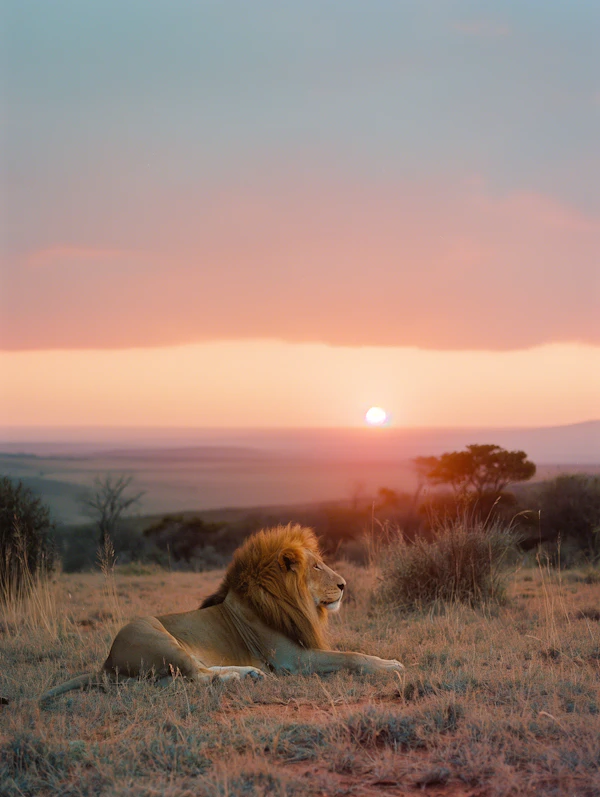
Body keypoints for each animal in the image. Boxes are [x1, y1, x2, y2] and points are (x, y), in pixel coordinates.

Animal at [40, 525, 403, 702]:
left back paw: (249, 673)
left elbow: (352, 652)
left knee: (196, 672)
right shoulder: (295, 660)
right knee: (197, 677)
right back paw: (239, 677)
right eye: (316, 567)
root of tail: (107, 663)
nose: (344, 584)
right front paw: (390, 666)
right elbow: (352, 656)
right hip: (155, 636)